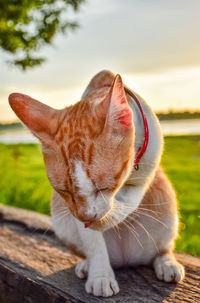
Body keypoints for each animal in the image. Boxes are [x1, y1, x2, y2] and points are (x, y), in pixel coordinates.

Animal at [9, 71, 184, 300]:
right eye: (64, 191)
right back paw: (87, 265)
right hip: (61, 221)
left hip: (168, 214)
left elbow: (131, 196)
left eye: (104, 188)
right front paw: (100, 275)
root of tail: (125, 259)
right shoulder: (74, 212)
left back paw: (166, 262)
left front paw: (113, 213)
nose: (87, 217)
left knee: (162, 248)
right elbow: (94, 243)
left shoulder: (150, 163)